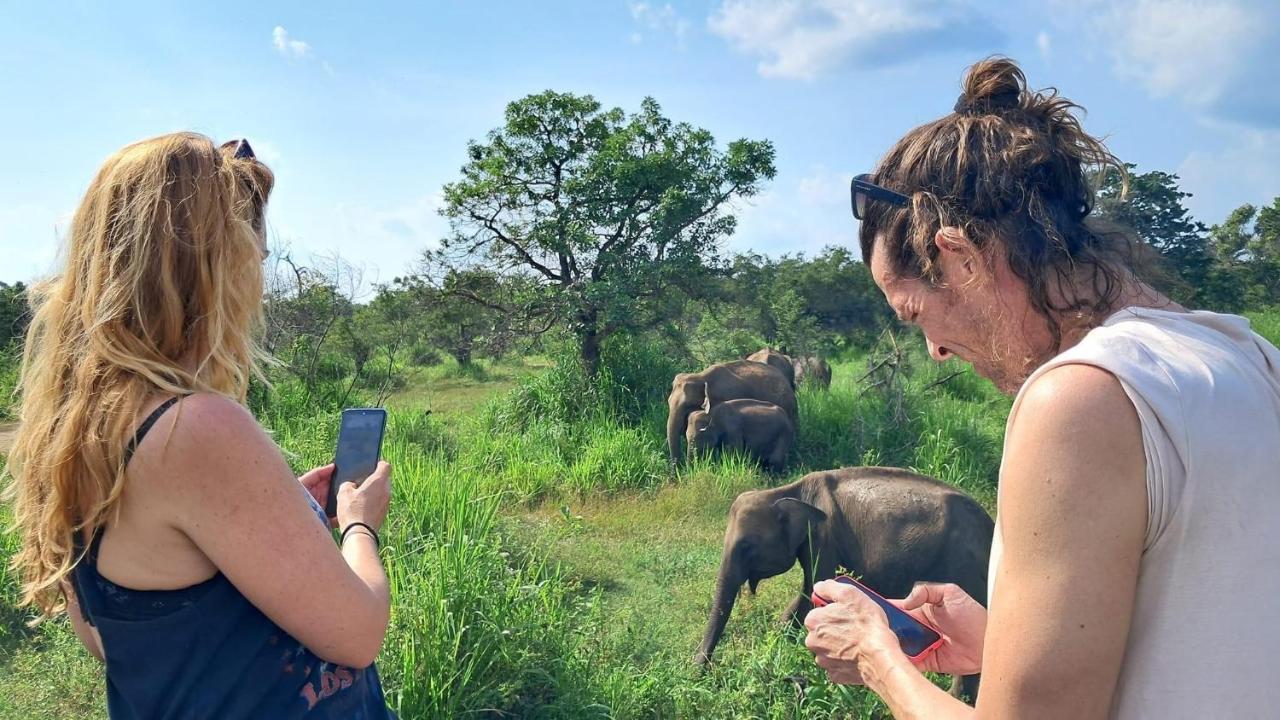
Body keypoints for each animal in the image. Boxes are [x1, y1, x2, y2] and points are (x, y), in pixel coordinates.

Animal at [696, 461, 993, 696]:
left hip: (963, 569)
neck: (789, 491)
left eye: (746, 546)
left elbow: (813, 590)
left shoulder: (824, 538)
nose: (701, 673)